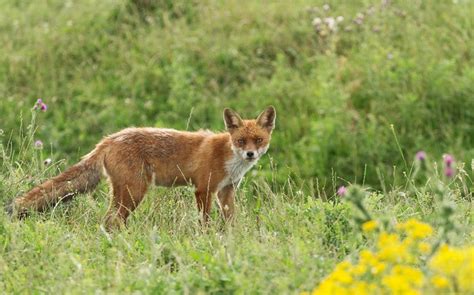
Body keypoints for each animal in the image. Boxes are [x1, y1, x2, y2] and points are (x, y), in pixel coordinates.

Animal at [7, 107, 276, 231]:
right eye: (241, 141)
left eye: (258, 140)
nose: (250, 154)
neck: (229, 159)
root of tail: (109, 139)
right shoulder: (203, 189)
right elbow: (205, 221)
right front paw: (207, 238)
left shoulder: (226, 190)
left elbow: (231, 220)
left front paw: (231, 238)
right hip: (134, 192)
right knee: (112, 219)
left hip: (125, 192)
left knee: (110, 219)